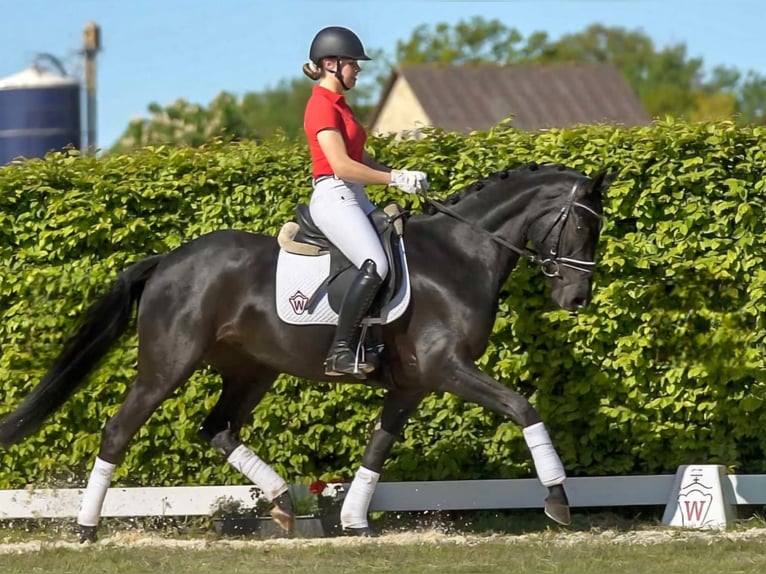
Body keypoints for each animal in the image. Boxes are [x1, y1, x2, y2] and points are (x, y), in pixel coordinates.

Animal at [0, 163, 616, 544]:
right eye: (581, 225)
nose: (576, 298)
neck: (460, 255)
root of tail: (169, 259)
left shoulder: (414, 383)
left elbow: (379, 445)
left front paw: (353, 519)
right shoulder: (449, 368)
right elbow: (523, 408)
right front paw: (558, 500)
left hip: (251, 369)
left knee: (217, 428)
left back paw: (282, 502)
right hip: (168, 365)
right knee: (118, 430)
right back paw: (86, 528)